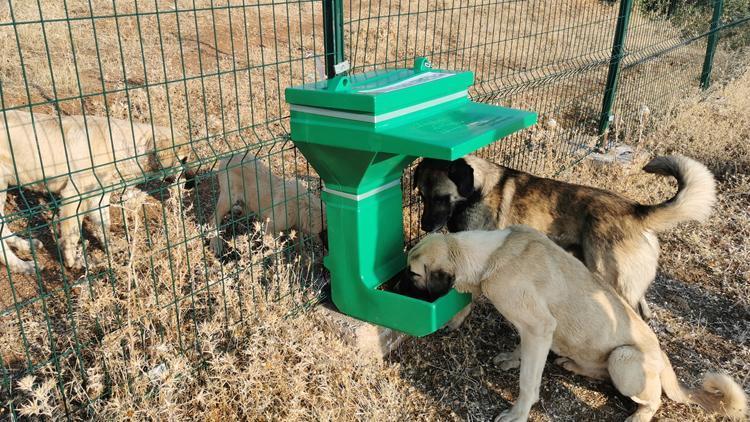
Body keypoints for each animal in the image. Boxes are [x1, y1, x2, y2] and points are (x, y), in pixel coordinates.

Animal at [408, 227, 748, 422]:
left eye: (412, 274)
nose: (399, 284)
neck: (490, 255)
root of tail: (664, 360)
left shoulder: (539, 327)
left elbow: (528, 382)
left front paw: (518, 414)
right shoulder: (536, 331)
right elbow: (522, 349)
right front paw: (512, 358)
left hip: (623, 358)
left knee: (652, 400)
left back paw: (639, 416)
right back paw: (572, 364)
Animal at [414, 153, 720, 322]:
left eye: (440, 197)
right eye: (421, 195)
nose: (425, 225)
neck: (477, 190)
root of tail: (636, 210)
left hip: (608, 277)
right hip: (626, 283)